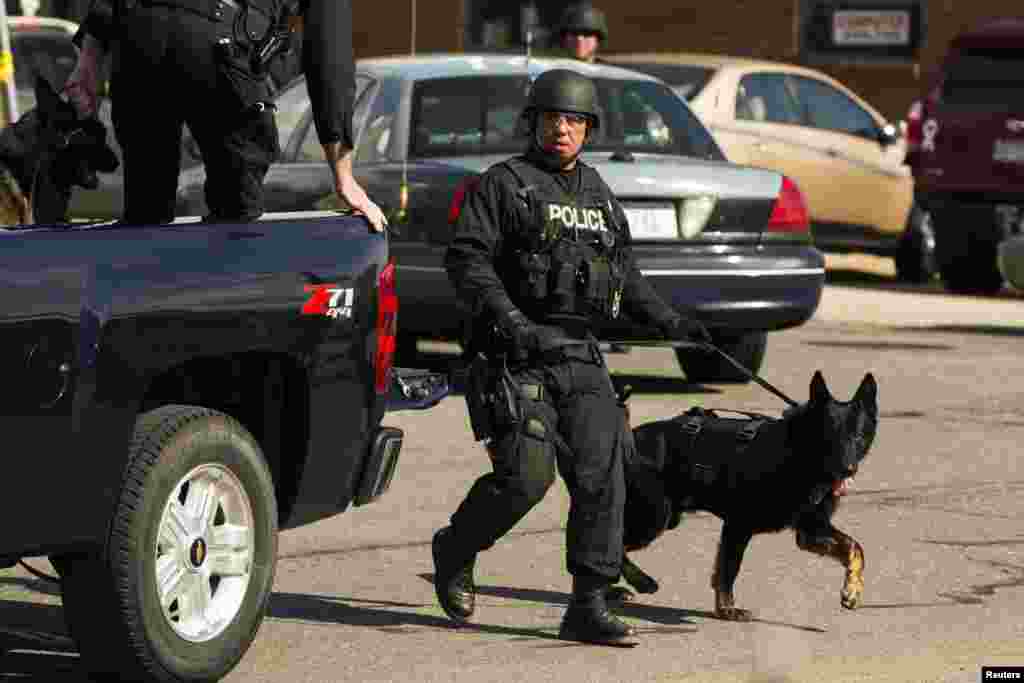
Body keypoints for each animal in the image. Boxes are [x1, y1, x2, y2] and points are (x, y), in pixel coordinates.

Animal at [614, 370, 880, 622]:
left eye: (857, 437)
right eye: (829, 438)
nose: (848, 469)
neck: (798, 453)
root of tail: (628, 437)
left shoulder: (810, 531)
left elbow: (855, 547)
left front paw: (852, 589)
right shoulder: (738, 526)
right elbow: (729, 569)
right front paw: (726, 610)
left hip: (664, 517)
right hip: (655, 517)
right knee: (616, 544)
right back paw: (639, 581)